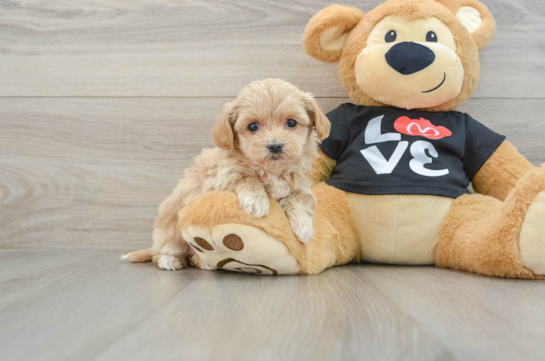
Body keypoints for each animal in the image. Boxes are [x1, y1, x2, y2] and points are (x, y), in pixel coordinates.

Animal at [121, 79, 330, 270]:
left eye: (291, 122)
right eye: (253, 126)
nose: (275, 146)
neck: (271, 170)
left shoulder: (301, 185)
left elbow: (301, 198)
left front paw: (303, 226)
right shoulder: (219, 180)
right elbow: (246, 178)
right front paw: (256, 201)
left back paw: (203, 262)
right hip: (170, 229)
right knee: (164, 252)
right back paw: (170, 260)